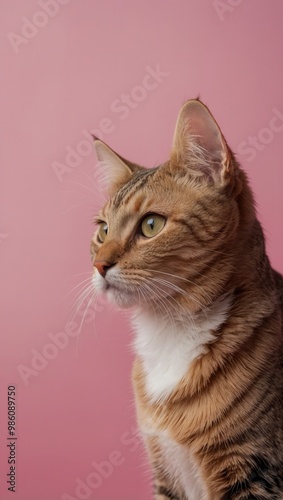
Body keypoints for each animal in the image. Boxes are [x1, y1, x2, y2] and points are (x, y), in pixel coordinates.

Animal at [91, 98, 283, 500]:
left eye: (151, 225)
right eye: (102, 231)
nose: (99, 265)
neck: (169, 331)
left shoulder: (253, 468)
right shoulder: (167, 468)